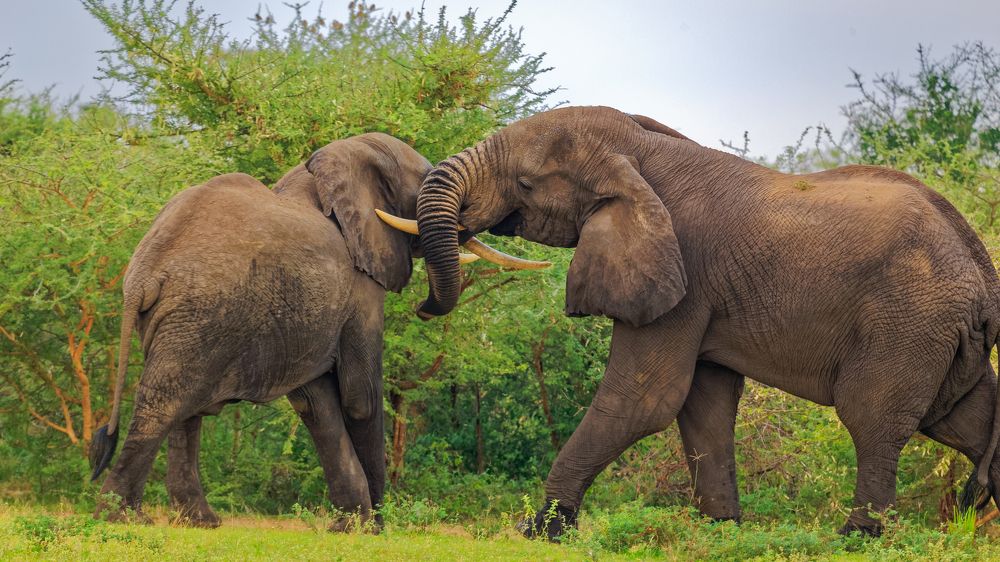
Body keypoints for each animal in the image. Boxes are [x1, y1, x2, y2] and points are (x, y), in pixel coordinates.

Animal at [88, 132, 539, 529]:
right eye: (426, 185)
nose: (422, 310)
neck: (331, 165)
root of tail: (145, 271)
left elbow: (315, 403)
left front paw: (350, 525)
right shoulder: (359, 286)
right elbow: (359, 396)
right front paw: (375, 526)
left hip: (183, 320)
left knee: (186, 409)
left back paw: (201, 522)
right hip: (199, 313)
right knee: (166, 403)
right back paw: (122, 518)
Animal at [387, 105, 1000, 539]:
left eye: (526, 183)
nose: (421, 308)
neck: (636, 150)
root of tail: (980, 267)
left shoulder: (685, 271)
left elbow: (645, 398)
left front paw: (541, 530)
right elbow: (703, 404)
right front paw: (722, 528)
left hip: (908, 321)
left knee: (873, 416)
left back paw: (855, 537)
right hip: (941, 334)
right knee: (961, 418)